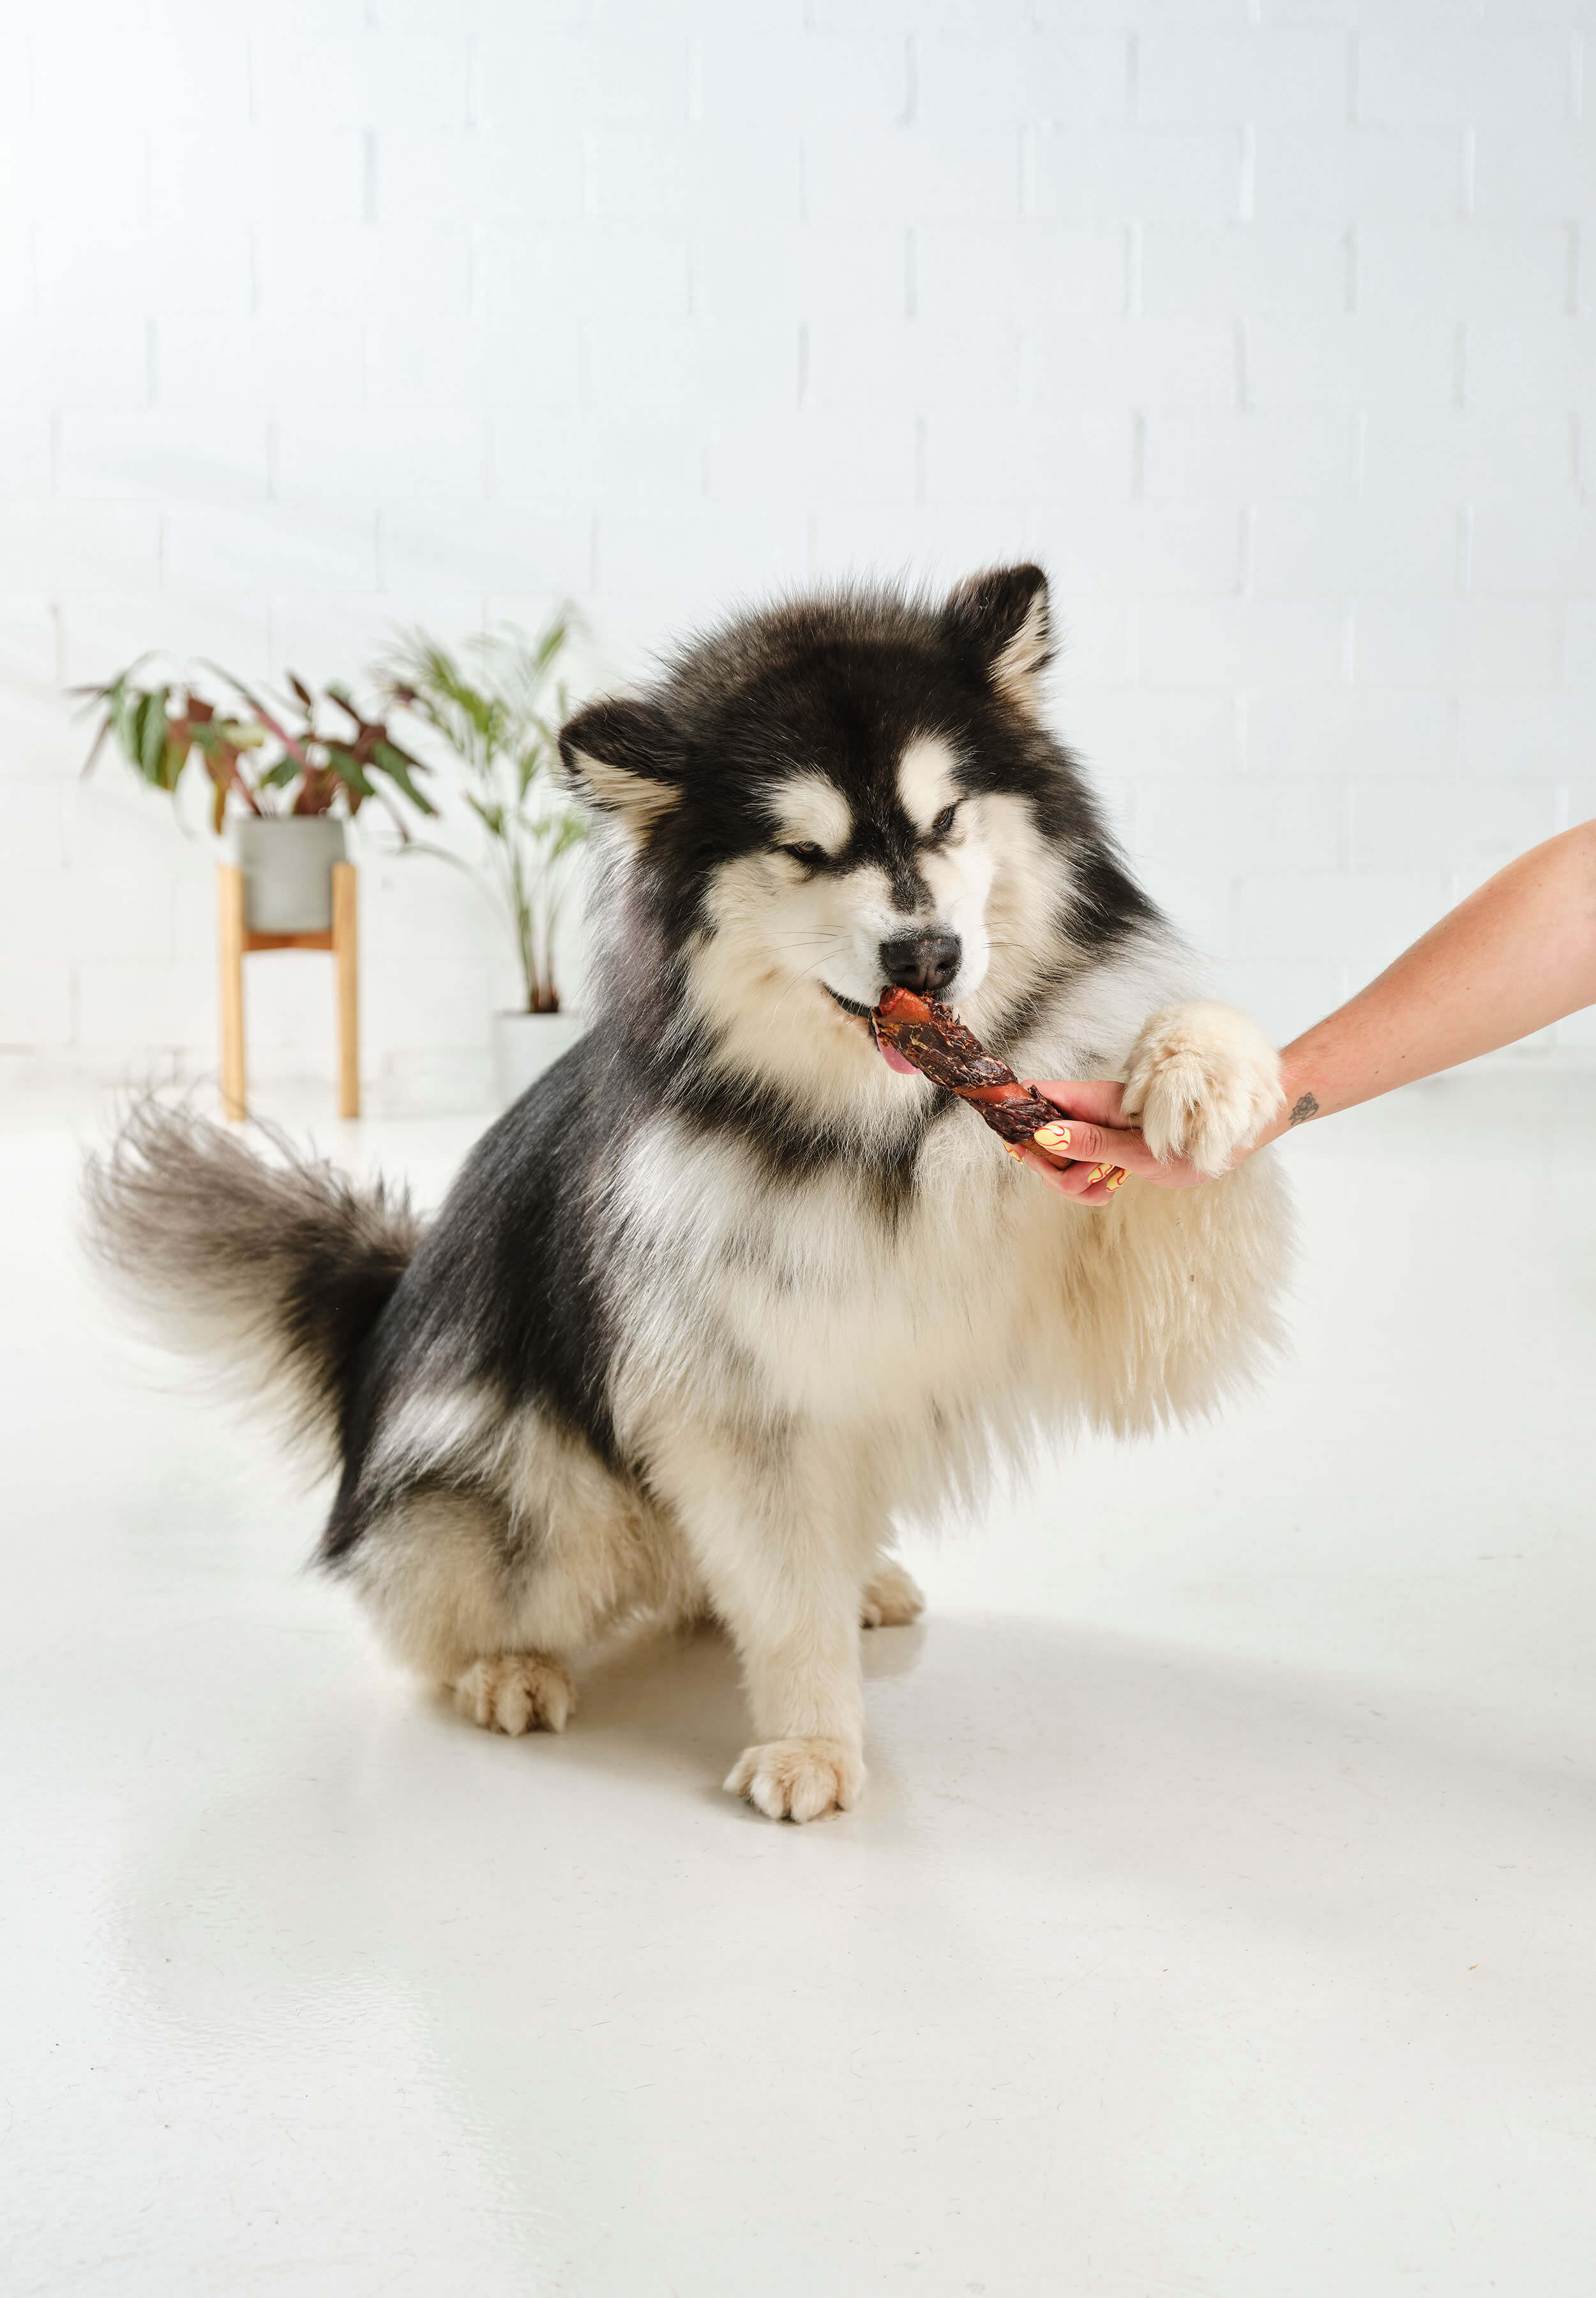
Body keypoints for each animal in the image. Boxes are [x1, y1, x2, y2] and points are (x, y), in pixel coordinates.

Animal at [87, 565, 1297, 1820]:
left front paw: (1208, 1071)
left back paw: (864, 1581)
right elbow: (783, 1593)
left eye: (946, 818)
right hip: (527, 1488)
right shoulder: (735, 1395)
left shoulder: (1115, 1269)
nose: (926, 959)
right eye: (804, 851)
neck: (887, 1128)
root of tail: (380, 1331)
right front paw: (812, 1742)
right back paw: (507, 1670)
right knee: (457, 1607)